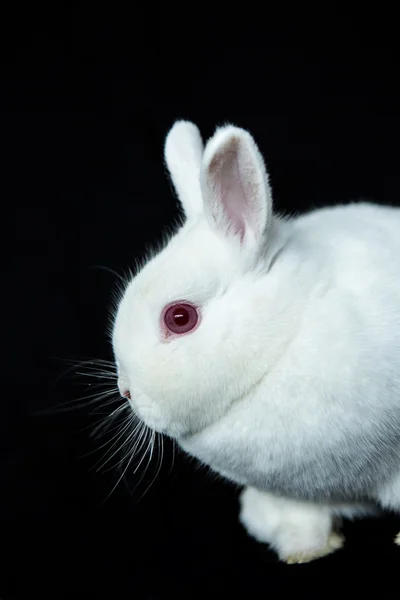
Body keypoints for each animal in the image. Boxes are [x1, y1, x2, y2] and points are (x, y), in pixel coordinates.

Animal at [111, 120, 400, 564]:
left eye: (180, 318)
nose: (126, 391)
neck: (285, 334)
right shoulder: (302, 496)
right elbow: (303, 520)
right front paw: (304, 550)